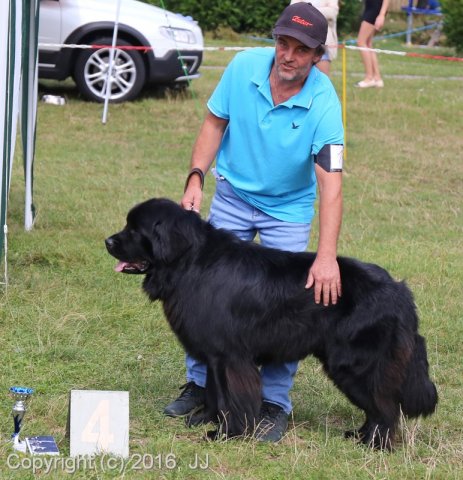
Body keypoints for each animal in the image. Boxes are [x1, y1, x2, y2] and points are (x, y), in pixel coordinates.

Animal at [106, 197, 438, 448]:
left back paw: (374, 444)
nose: (107, 240)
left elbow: (231, 398)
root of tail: (399, 291)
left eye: (135, 230)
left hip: (354, 364)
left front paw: (226, 433)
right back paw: (359, 435)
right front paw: (202, 419)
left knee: (385, 407)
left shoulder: (229, 356)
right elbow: (213, 392)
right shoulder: (214, 354)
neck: (189, 262)